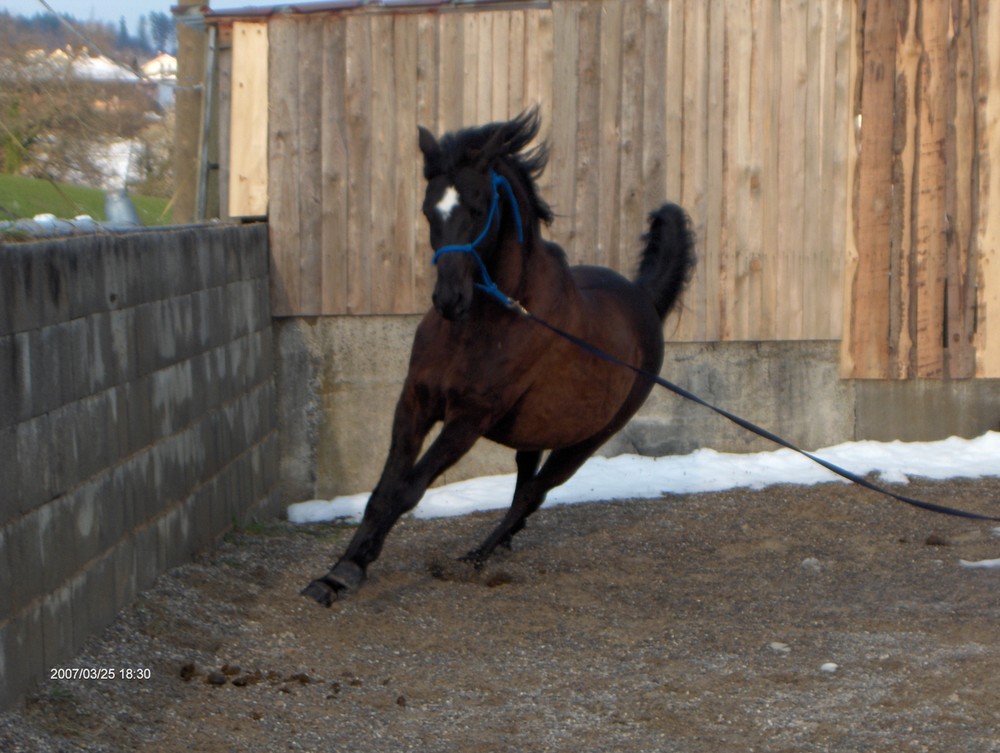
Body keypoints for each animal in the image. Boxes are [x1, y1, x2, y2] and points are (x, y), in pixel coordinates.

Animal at [302, 110, 696, 604]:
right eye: (428, 210)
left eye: (476, 208)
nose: (449, 300)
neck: (488, 322)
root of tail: (644, 299)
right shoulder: (414, 401)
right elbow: (383, 491)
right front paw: (336, 572)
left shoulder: (469, 418)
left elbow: (407, 490)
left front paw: (348, 572)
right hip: (536, 432)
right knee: (524, 486)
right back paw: (500, 543)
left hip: (585, 442)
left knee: (534, 493)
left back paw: (476, 556)